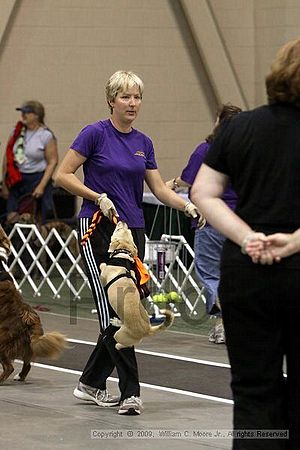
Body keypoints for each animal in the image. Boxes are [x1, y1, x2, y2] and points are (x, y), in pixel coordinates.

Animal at [0, 225, 67, 384]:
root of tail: (30, 318)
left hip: (2, 338)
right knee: (27, 363)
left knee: (9, 367)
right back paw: (20, 376)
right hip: (26, 344)